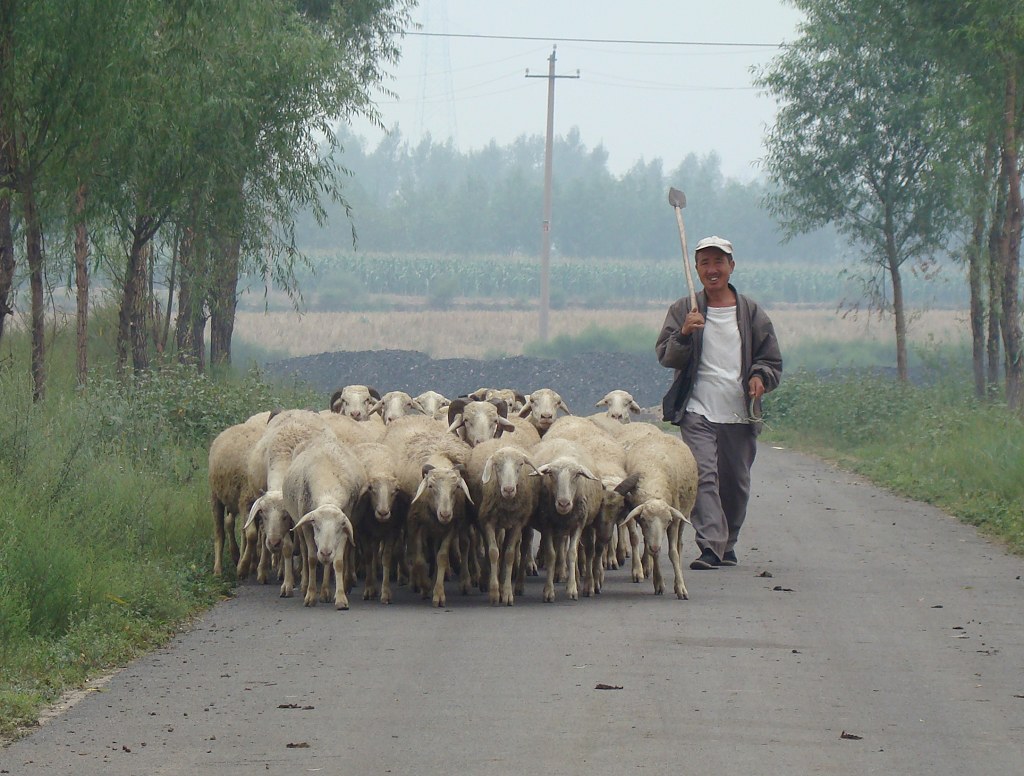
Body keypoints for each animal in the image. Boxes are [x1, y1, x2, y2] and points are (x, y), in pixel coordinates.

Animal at [284, 440, 368, 610]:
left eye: (338, 528)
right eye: (316, 525)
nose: (325, 552)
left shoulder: (346, 524)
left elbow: (338, 561)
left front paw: (340, 598)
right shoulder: (307, 526)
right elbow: (311, 559)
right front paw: (310, 596)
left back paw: (325, 592)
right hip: (299, 524)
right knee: (304, 552)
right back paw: (305, 586)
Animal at [610, 432, 700, 601]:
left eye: (668, 521)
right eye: (644, 519)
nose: (656, 546)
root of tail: (662, 434)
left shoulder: (674, 521)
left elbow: (673, 553)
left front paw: (680, 588)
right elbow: (645, 545)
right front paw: (657, 582)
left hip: (685, 514)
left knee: (679, 545)